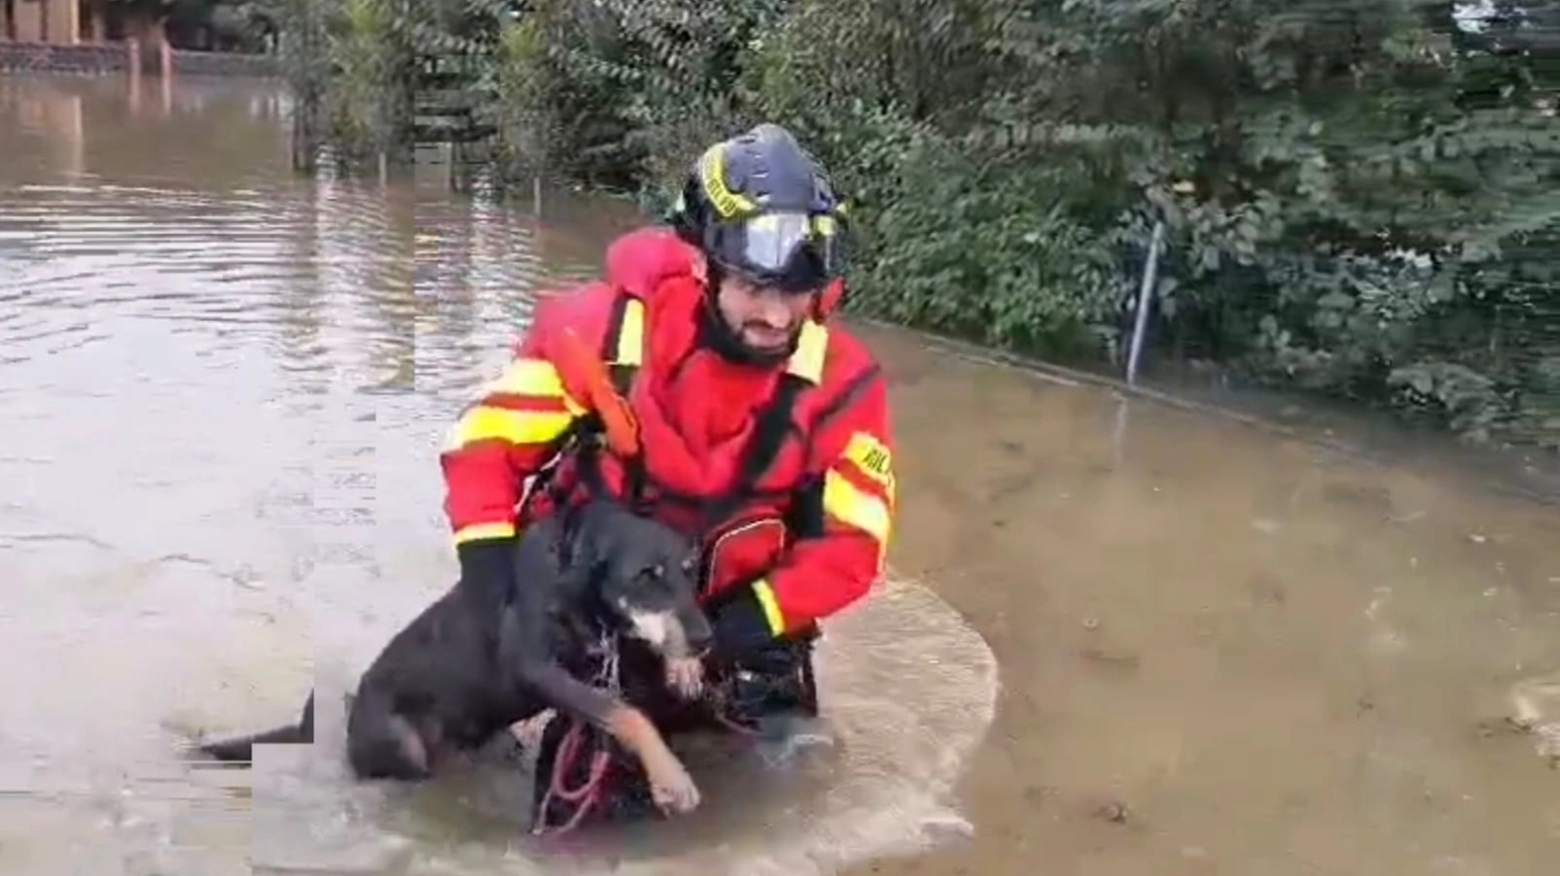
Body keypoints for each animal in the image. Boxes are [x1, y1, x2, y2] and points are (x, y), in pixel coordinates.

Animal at [190, 501, 717, 816]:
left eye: (689, 569)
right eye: (646, 574)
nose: (705, 638)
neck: (572, 573)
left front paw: (683, 667)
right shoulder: (540, 670)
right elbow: (626, 713)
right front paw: (672, 778)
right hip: (403, 744)